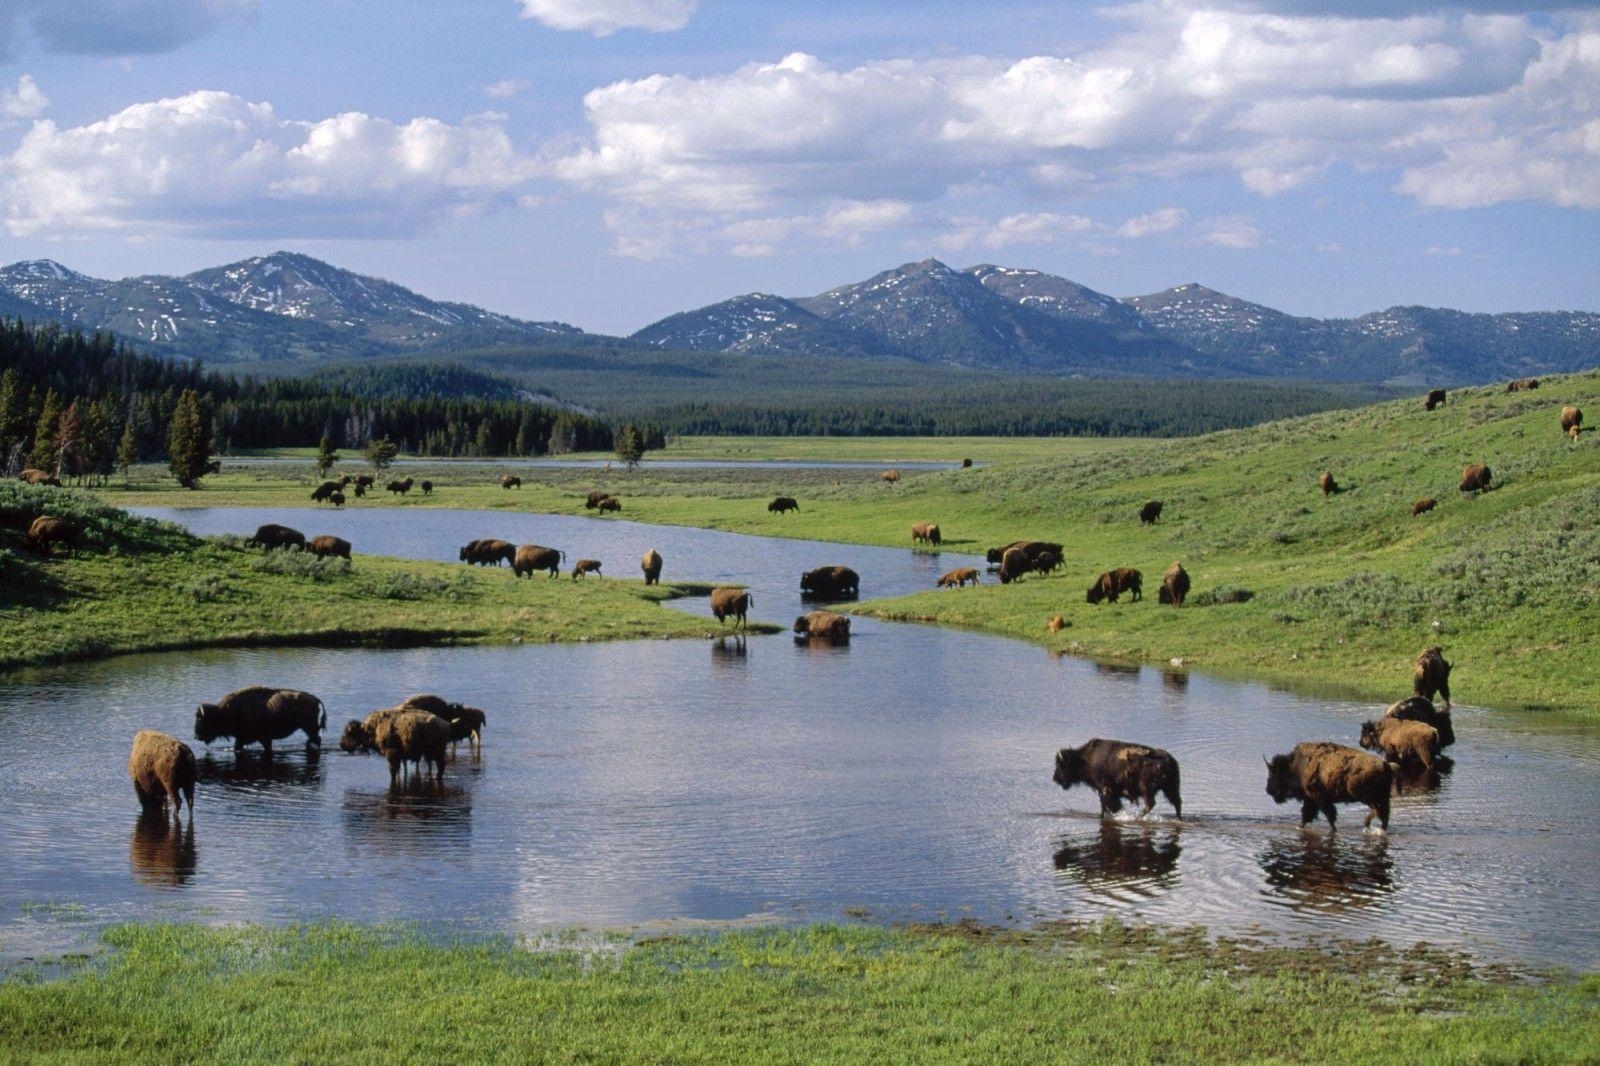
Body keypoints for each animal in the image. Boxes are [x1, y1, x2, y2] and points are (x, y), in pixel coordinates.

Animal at [196, 681, 324, 755]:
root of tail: (315, 699)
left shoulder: (261, 738)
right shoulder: (245, 739)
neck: (224, 711)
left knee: (315, 739)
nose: (196, 736)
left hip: (309, 727)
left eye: (201, 720)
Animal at [1056, 736, 1184, 816]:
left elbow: (1109, 804)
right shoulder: (1102, 791)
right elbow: (1103, 805)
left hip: (1147, 789)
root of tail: (1169, 760)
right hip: (1170, 788)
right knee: (1176, 802)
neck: (1086, 759)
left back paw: (1138, 817)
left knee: (1150, 804)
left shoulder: (1106, 789)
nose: (1055, 779)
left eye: (1061, 765)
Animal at [1260, 739, 1401, 832]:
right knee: (1384, 815)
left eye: (1274, 774)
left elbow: (1328, 816)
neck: (1298, 767)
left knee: (1379, 811)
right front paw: (1300, 826)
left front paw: (1333, 830)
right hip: (1381, 797)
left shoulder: (1320, 799)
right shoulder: (1311, 800)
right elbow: (1307, 815)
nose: (1268, 790)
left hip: (1365, 796)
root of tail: (1387, 765)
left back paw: (1366, 823)